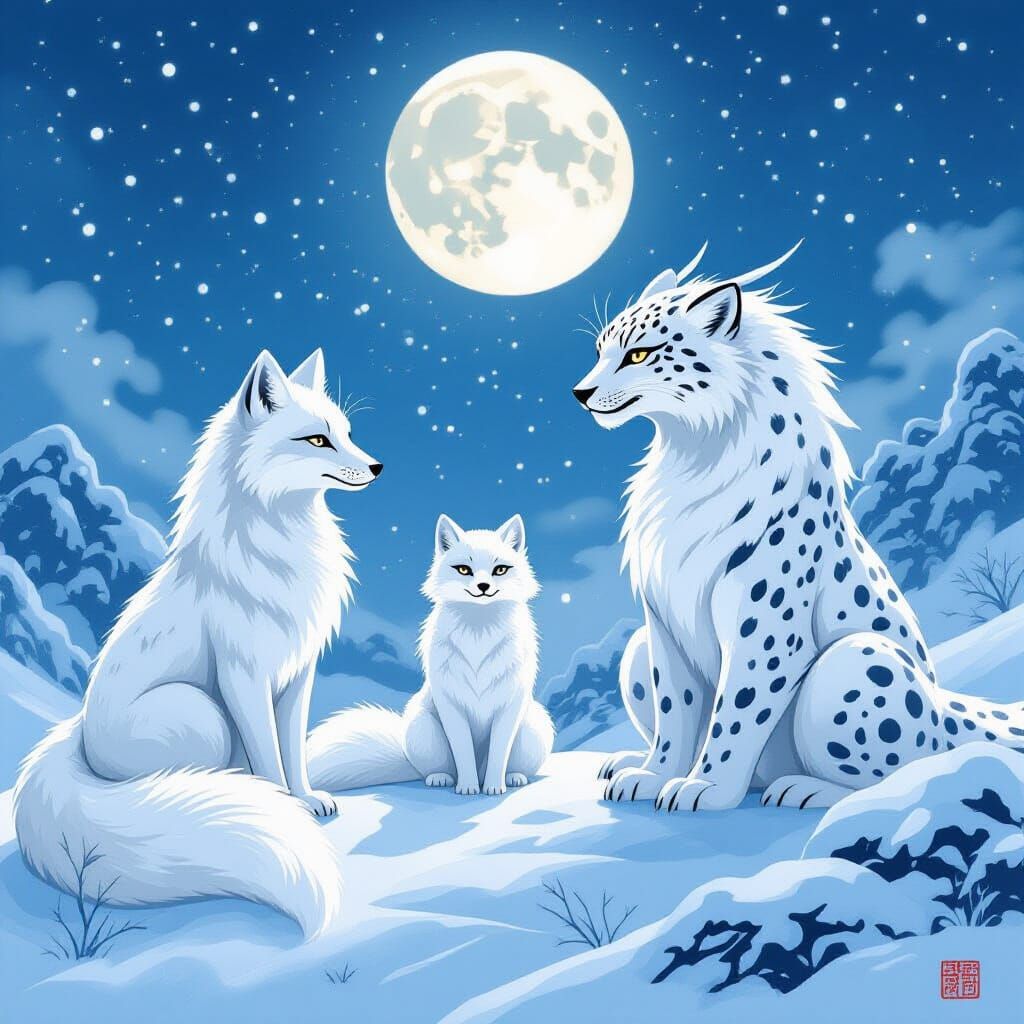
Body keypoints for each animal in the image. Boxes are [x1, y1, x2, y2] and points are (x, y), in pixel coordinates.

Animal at [14, 348, 382, 937]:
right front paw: (284, 807)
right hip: (202, 713)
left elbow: (293, 747)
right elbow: (269, 753)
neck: (283, 546)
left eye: (348, 434)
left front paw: (305, 798)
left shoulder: (298, 672)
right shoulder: (243, 673)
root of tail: (78, 733)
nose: (376, 467)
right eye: (317, 440)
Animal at [307, 514, 554, 796]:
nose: (483, 586)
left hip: (534, 727)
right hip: (423, 726)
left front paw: (493, 787)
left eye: (500, 570)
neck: (479, 633)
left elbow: (499, 752)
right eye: (464, 570)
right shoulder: (451, 703)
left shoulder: (510, 704)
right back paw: (442, 778)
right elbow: (463, 752)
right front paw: (468, 788)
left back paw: (513, 777)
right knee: (436, 769)